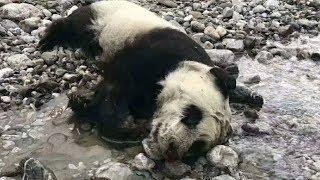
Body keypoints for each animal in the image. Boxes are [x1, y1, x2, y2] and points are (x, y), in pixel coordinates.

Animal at [38, 0, 236, 160]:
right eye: (192, 115)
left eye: (197, 145)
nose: (172, 150)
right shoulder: (152, 54)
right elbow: (114, 89)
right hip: (103, 17)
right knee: (75, 25)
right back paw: (48, 40)